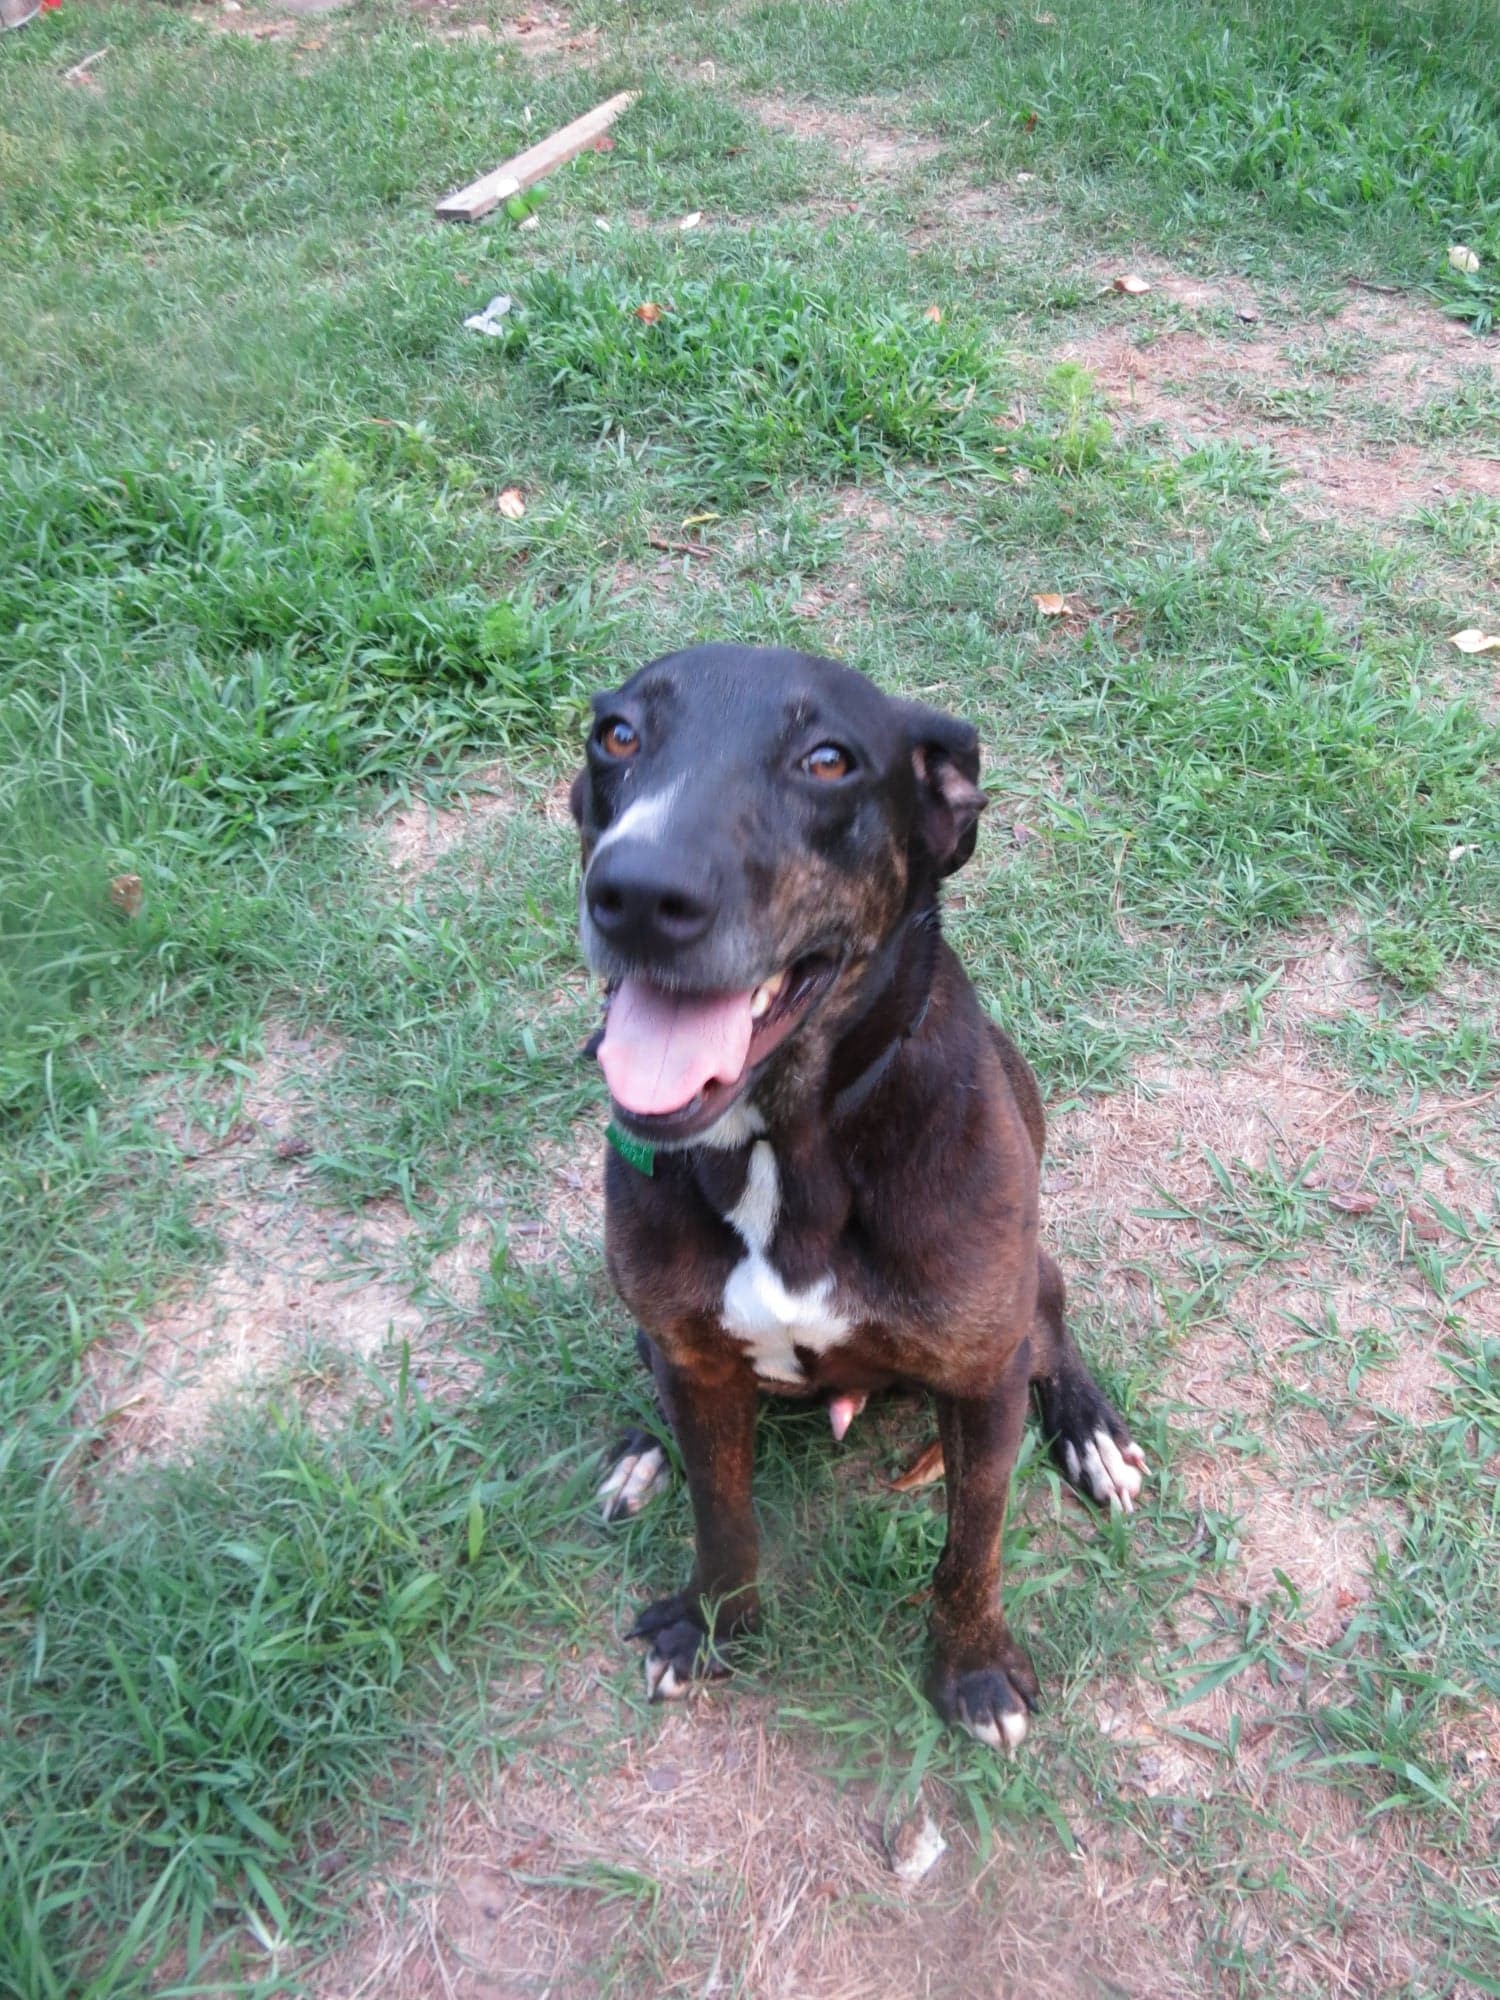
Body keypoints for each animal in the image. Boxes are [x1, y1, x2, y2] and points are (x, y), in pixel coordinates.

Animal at [576, 644, 1152, 1752]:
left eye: (828, 759)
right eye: (617, 735)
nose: (634, 889)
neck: (785, 1141)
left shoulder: (978, 1379)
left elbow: (971, 1548)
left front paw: (974, 1672)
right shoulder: (696, 1360)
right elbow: (723, 1514)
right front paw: (711, 1625)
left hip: (1030, 1286)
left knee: (1053, 1335)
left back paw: (1091, 1431)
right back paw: (640, 1453)